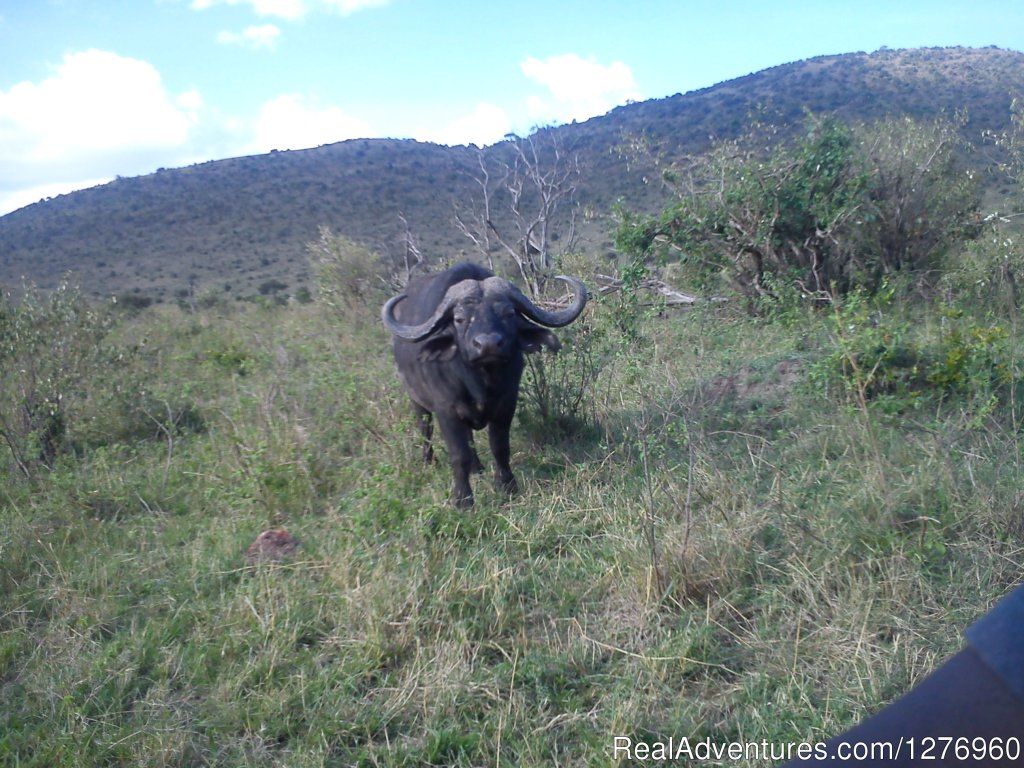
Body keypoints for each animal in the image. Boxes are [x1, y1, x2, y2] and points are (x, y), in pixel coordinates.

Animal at [382, 264, 589, 512]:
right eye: (459, 319)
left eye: (509, 313)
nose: (488, 344)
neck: (481, 381)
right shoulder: (446, 410)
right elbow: (458, 454)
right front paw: (463, 500)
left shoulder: (507, 403)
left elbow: (499, 446)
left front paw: (507, 485)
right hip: (417, 402)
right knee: (425, 431)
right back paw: (429, 461)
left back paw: (477, 466)